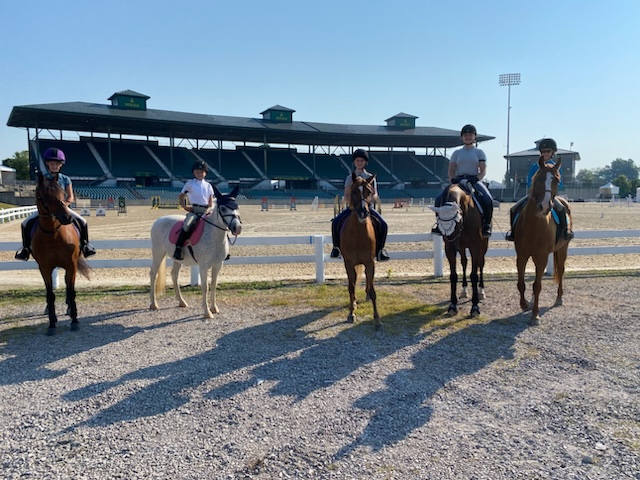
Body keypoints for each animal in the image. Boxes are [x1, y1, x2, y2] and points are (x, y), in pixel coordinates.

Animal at [31, 172, 90, 334]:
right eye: (43, 196)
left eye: (63, 193)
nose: (66, 217)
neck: (53, 234)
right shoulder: (44, 268)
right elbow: (50, 294)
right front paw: (52, 324)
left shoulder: (71, 265)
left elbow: (71, 291)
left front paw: (75, 321)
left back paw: (70, 309)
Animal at [338, 172, 382, 330]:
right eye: (354, 191)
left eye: (369, 191)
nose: (363, 212)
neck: (358, 233)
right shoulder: (348, 263)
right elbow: (351, 287)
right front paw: (351, 314)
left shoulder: (370, 262)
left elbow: (373, 290)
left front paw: (377, 319)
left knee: (368, 281)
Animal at [430, 182, 490, 316]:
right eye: (440, 224)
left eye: (456, 223)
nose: (453, 243)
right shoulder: (449, 249)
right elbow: (453, 275)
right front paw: (453, 305)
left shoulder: (475, 247)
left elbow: (474, 275)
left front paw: (475, 307)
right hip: (461, 247)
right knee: (464, 262)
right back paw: (464, 290)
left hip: (483, 245)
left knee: (481, 264)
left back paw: (481, 291)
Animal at [512, 156, 572, 324]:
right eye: (538, 178)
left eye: (557, 180)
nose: (544, 206)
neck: (534, 224)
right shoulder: (522, 255)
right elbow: (521, 283)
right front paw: (524, 304)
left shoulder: (543, 256)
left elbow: (537, 286)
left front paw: (535, 315)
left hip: (562, 249)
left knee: (561, 270)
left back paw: (559, 298)